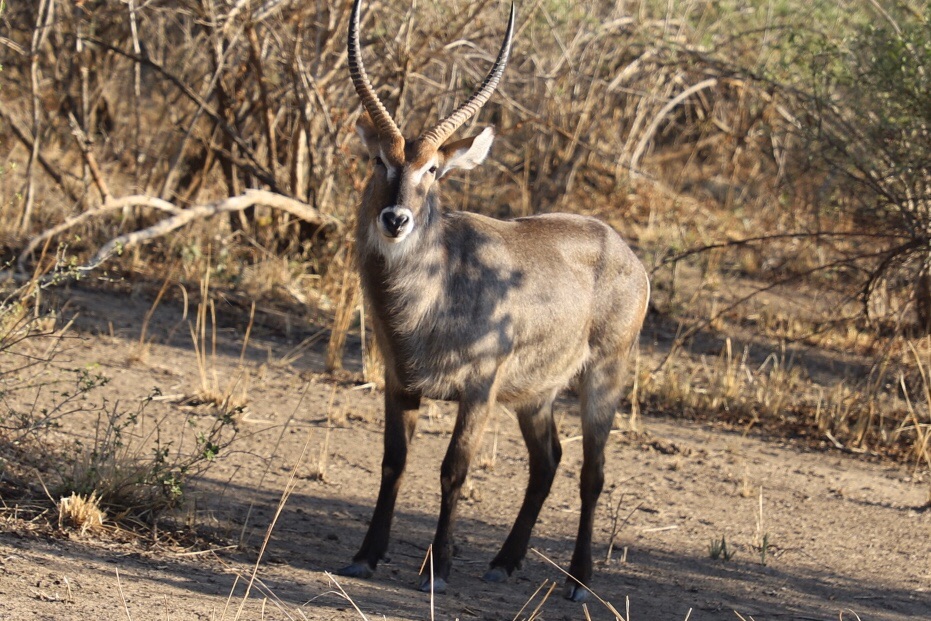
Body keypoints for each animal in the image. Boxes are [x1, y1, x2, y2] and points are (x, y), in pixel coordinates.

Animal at [338, 0, 652, 600]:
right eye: (379, 162)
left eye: (433, 169)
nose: (395, 219)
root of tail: (623, 248)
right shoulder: (399, 382)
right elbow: (393, 462)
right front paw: (365, 555)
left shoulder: (478, 390)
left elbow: (453, 469)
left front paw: (437, 567)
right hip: (536, 395)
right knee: (547, 462)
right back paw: (505, 562)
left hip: (604, 377)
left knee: (591, 472)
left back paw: (580, 581)